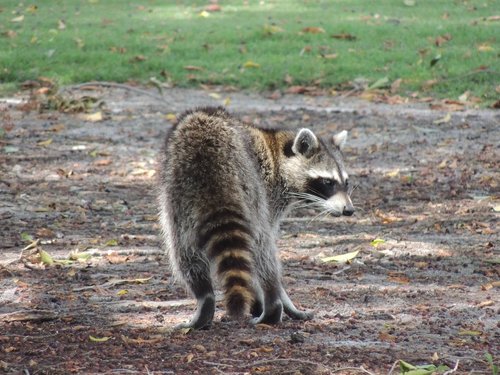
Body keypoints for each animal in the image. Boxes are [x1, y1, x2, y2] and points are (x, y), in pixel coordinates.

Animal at [158, 106, 354, 328]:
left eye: (346, 182)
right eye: (328, 182)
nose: (349, 210)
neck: (278, 153)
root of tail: (206, 152)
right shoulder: (268, 190)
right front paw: (278, 299)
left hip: (177, 196)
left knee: (183, 250)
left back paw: (204, 296)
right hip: (250, 190)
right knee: (262, 247)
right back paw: (272, 302)